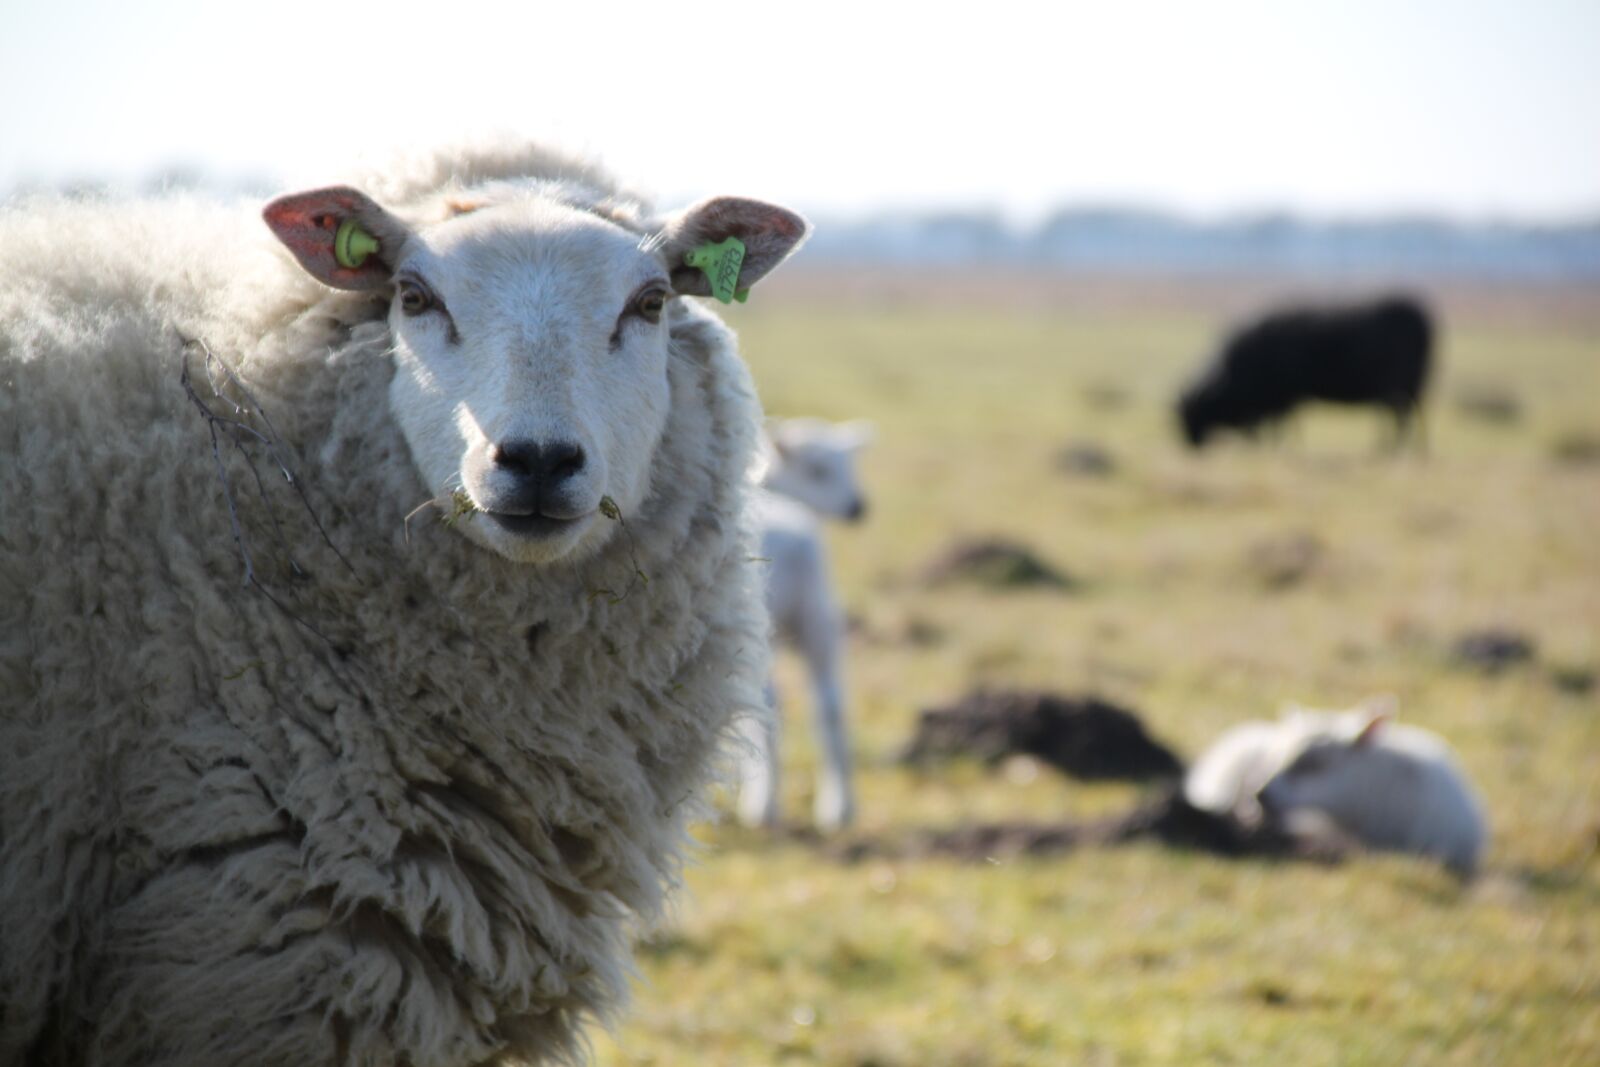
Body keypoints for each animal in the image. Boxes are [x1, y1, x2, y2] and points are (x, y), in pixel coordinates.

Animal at [735, 418, 873, 832]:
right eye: (818, 470)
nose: (858, 508)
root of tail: (795, 546)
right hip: (819, 617)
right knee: (831, 705)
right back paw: (840, 807)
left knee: (769, 707)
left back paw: (763, 804)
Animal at [1177, 295, 1434, 449]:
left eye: (1193, 412)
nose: (1191, 445)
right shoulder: (1279, 399)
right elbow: (1282, 424)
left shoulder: (1282, 397)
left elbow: (1281, 424)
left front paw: (1280, 446)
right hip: (1409, 387)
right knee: (1408, 414)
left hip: (1398, 387)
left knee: (1401, 416)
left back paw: (1390, 450)